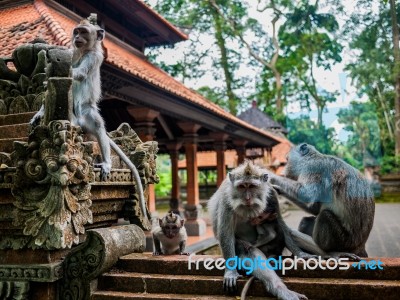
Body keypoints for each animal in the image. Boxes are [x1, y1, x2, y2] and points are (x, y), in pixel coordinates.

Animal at [28, 14, 149, 225]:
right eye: (76, 31)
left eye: (83, 32)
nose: (77, 37)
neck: (83, 51)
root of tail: (79, 122)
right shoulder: (71, 52)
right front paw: (39, 112)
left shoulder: (94, 57)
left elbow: (81, 73)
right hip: (73, 117)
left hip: (88, 113)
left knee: (99, 127)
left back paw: (106, 161)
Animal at [208, 161, 308, 300]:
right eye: (242, 186)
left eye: (252, 186)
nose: (247, 198)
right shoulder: (226, 200)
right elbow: (225, 233)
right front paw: (230, 272)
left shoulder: (272, 193)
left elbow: (281, 224)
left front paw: (301, 254)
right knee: (249, 250)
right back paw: (280, 289)